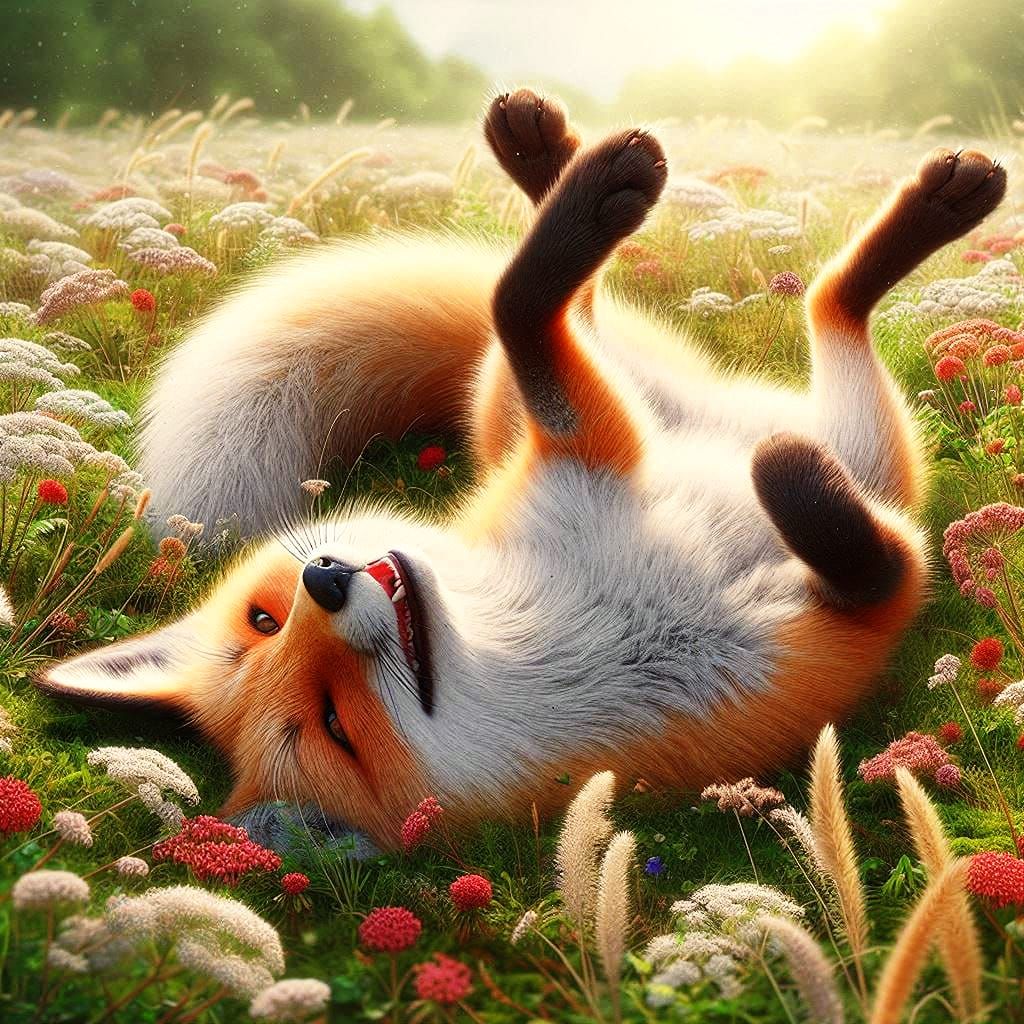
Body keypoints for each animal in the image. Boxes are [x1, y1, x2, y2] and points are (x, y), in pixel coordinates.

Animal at [36, 90, 1007, 850]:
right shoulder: (839, 624)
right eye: (335, 727)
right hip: (876, 440)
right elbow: (868, 553)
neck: (567, 620)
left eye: (262, 616)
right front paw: (791, 481)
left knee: (672, 308)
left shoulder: (581, 452)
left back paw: (551, 157)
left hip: (549, 403)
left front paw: (578, 202)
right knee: (828, 308)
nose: (325, 578)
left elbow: (521, 302)